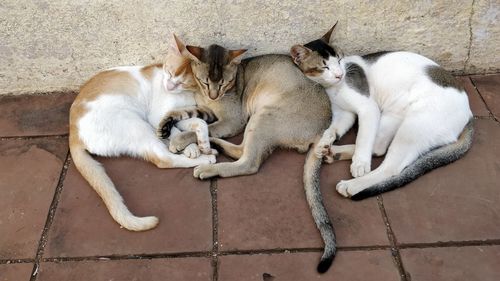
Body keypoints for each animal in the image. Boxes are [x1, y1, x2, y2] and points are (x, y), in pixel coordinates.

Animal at [290, 23, 472, 199]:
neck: (333, 88)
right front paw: (324, 143)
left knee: (390, 167)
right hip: (391, 116)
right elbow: (332, 130)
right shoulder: (344, 114)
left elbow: (363, 139)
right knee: (378, 147)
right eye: (325, 67)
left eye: (340, 60)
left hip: (413, 127)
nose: (339, 74)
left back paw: (352, 184)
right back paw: (333, 152)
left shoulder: (368, 108)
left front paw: (360, 163)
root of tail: (469, 113)